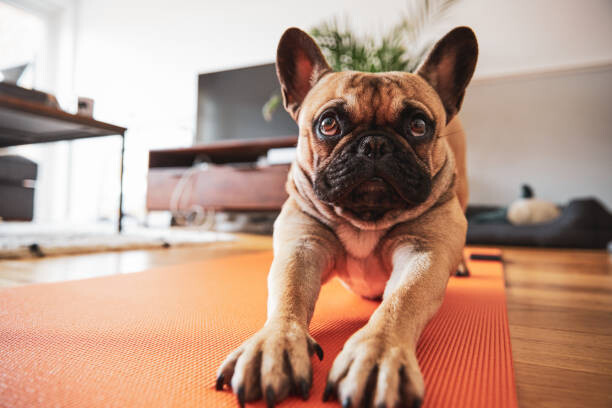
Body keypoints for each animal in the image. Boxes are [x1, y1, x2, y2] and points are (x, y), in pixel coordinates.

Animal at [215, 26, 478, 408]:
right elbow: (288, 294)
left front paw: (377, 353)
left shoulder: (424, 254)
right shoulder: (302, 247)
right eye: (328, 124)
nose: (375, 144)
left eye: (418, 126)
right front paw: (274, 344)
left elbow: (401, 302)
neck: (366, 216)